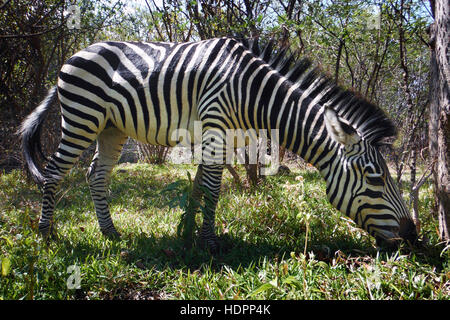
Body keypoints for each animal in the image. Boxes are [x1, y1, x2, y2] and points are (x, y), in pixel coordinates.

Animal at [18, 37, 418, 251]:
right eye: (376, 179)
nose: (413, 235)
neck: (254, 94)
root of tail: (74, 54)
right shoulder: (215, 128)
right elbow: (212, 189)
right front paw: (210, 245)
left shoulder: (223, 136)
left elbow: (199, 187)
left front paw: (187, 235)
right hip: (82, 117)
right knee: (53, 170)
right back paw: (46, 234)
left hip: (111, 127)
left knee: (96, 176)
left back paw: (110, 233)